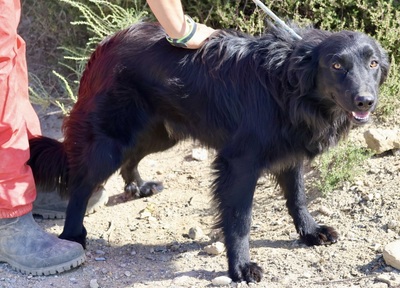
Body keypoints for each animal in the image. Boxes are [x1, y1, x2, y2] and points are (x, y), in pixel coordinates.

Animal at [28, 22, 390, 282]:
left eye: (373, 63)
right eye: (336, 65)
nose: (365, 101)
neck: (288, 83)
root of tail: (107, 43)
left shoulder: (290, 154)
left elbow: (298, 197)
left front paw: (310, 232)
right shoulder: (240, 163)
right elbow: (240, 219)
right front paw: (240, 267)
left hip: (160, 132)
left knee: (131, 158)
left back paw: (139, 187)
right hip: (110, 138)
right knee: (81, 183)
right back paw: (72, 236)